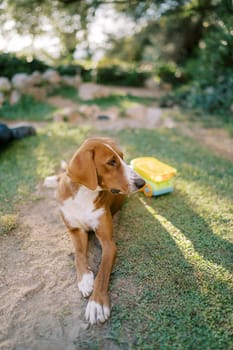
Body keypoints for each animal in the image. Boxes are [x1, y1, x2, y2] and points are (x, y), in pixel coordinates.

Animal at [44, 138, 145, 324]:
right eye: (111, 162)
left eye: (122, 157)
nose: (142, 183)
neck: (84, 193)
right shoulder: (75, 230)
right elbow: (78, 254)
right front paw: (84, 279)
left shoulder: (108, 243)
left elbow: (103, 273)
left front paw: (96, 303)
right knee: (63, 174)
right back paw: (52, 179)